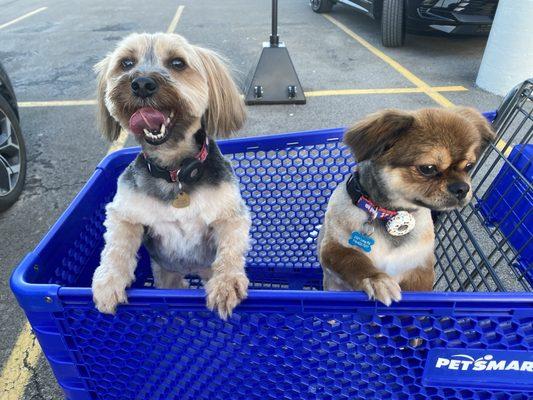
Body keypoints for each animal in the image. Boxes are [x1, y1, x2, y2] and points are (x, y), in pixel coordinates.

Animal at [91, 32, 249, 318]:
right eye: (126, 63)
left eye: (177, 63)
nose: (142, 84)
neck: (174, 173)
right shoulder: (124, 213)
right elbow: (117, 246)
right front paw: (109, 282)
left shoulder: (231, 215)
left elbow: (231, 249)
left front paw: (226, 283)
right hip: (166, 274)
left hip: (203, 268)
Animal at [316, 108, 494, 304]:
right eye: (428, 168)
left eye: (469, 166)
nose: (462, 188)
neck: (389, 213)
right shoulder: (333, 248)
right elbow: (353, 260)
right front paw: (378, 280)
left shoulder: (420, 266)